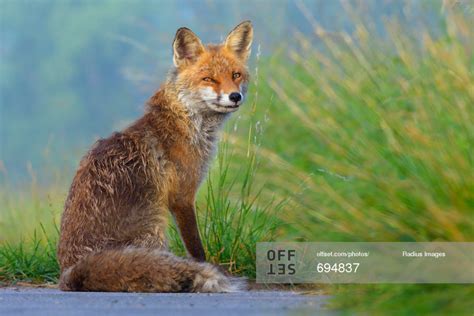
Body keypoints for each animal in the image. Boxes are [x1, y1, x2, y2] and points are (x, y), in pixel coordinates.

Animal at [56, 21, 252, 292]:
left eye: (236, 75)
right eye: (209, 79)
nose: (235, 96)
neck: (184, 123)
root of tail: (70, 270)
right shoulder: (182, 197)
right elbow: (196, 249)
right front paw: (208, 267)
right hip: (156, 227)